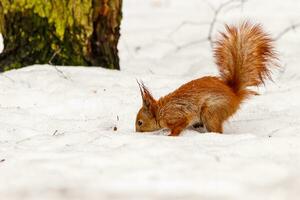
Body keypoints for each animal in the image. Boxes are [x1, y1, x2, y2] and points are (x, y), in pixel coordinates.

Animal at [135, 21, 278, 136]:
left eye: (140, 122)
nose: (136, 132)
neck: (161, 112)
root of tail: (234, 95)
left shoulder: (178, 116)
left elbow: (179, 126)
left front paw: (170, 135)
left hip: (211, 112)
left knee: (216, 130)